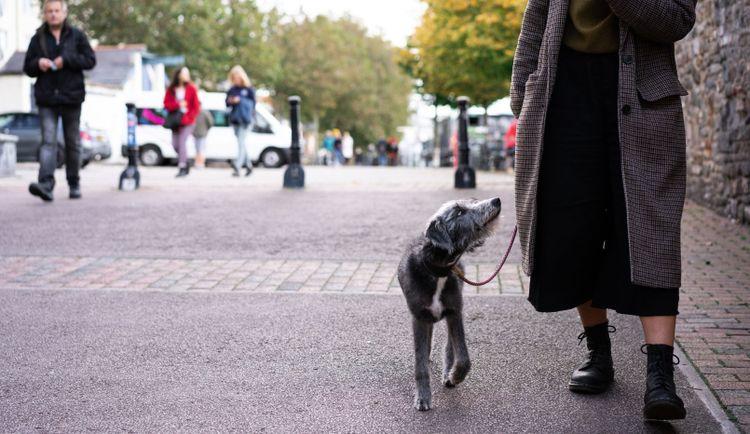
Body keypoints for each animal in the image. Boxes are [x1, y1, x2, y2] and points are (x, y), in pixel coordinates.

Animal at [396, 197, 502, 410]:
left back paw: (448, 372)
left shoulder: (455, 312)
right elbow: (420, 363)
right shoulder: (419, 317)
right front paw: (423, 397)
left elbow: (463, 357)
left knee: (449, 345)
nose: (496, 200)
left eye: (472, 202)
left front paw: (455, 376)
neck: (437, 270)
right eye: (459, 212)